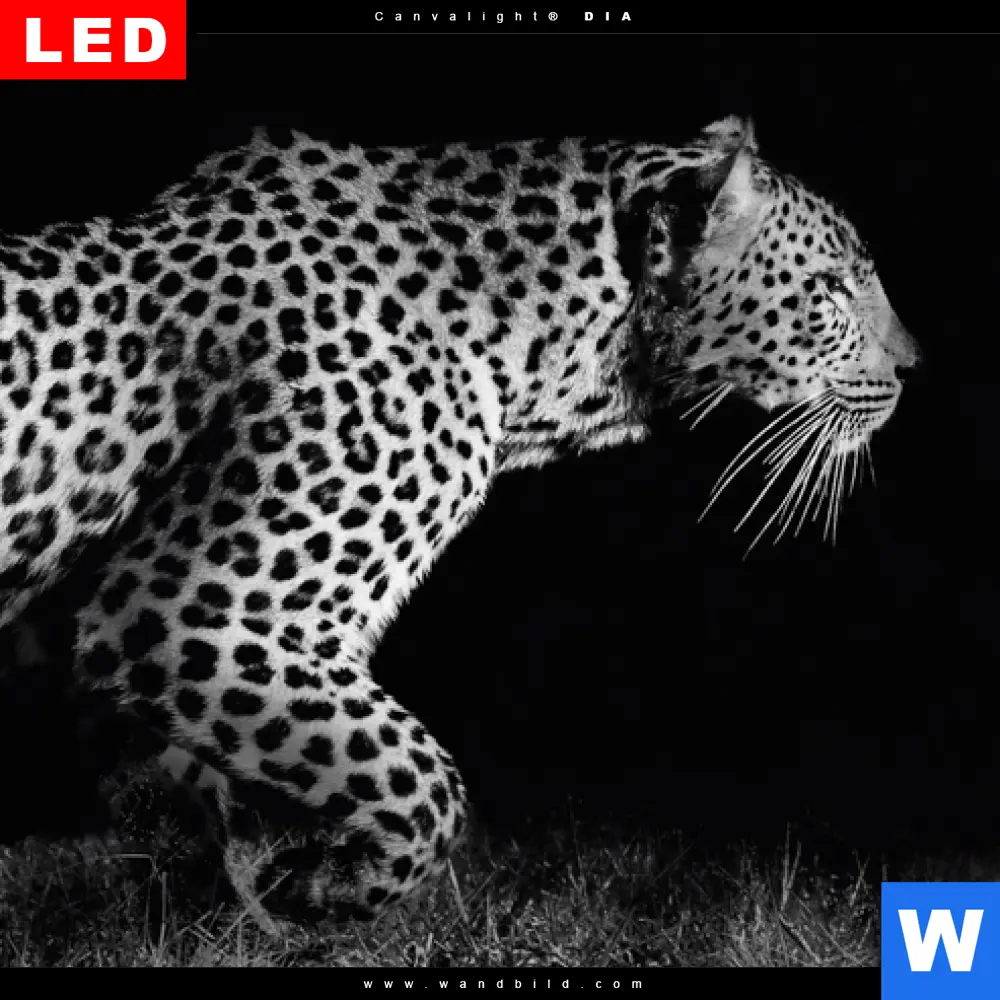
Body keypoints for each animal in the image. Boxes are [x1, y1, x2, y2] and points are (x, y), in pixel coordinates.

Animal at [0, 116, 920, 928]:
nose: (914, 365)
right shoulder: (194, 611)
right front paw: (326, 889)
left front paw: (238, 901)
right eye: (832, 289)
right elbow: (419, 776)